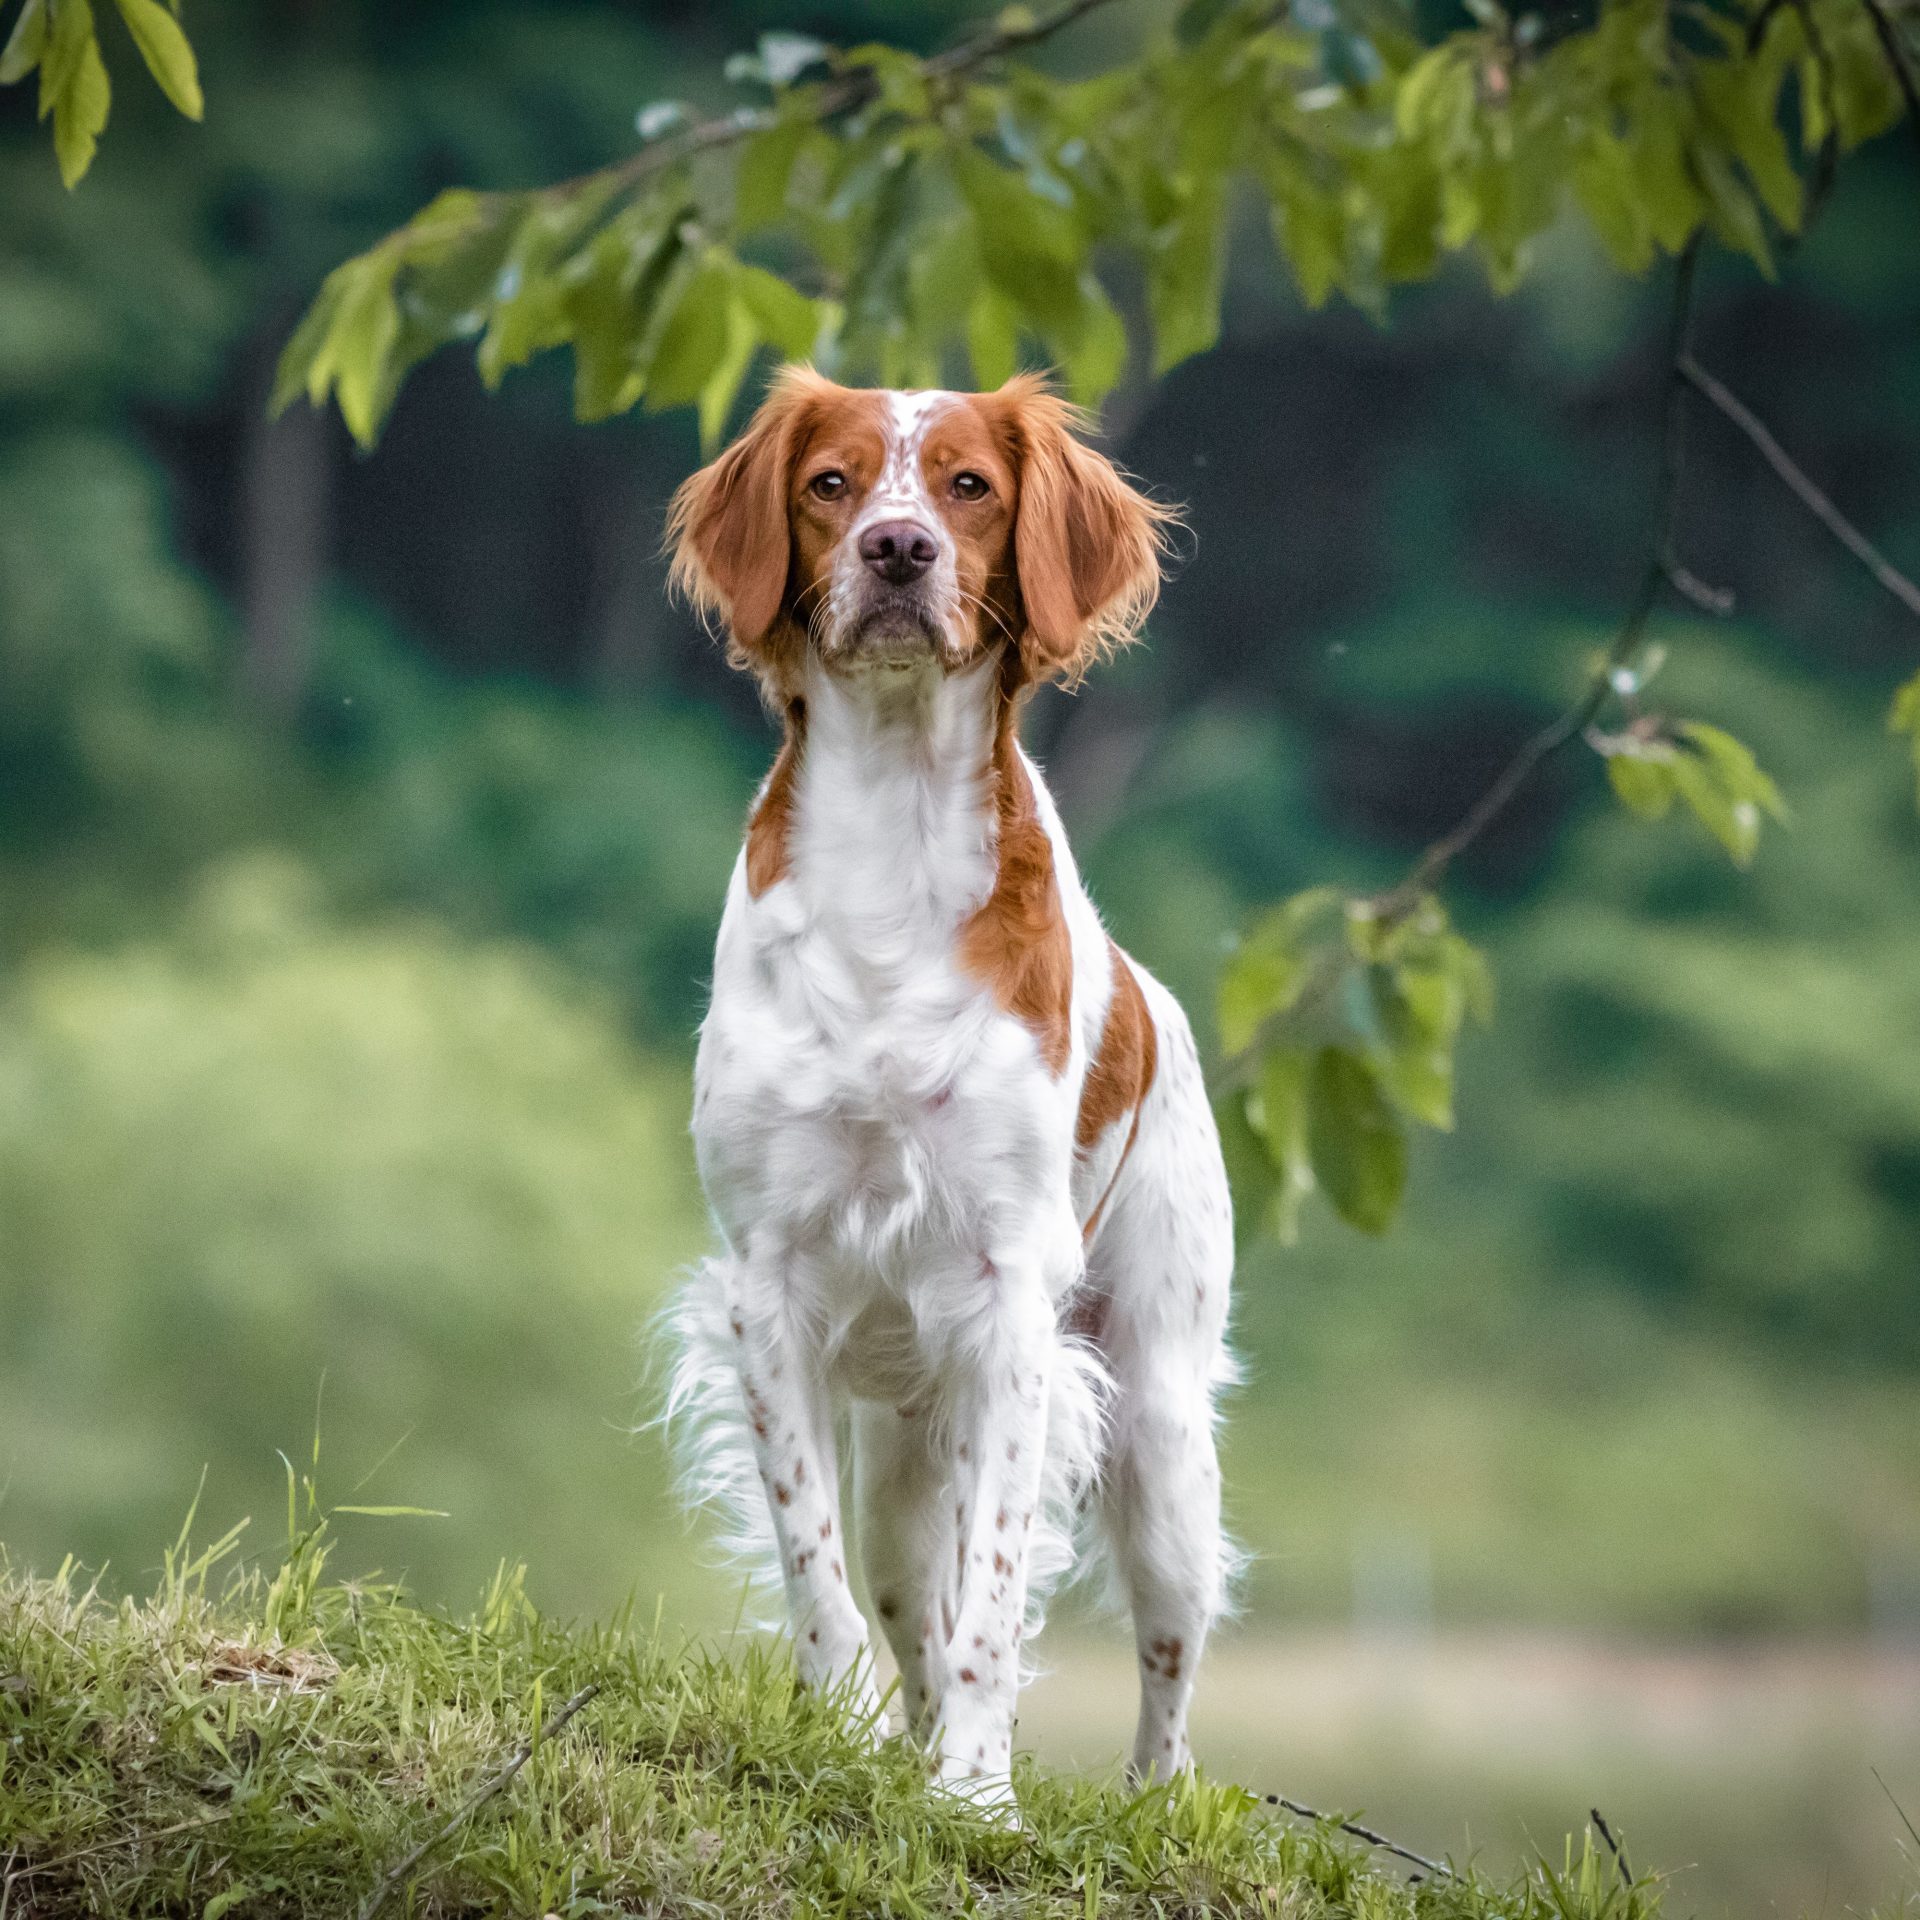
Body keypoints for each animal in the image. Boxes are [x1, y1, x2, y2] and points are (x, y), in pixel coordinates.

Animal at [668, 370, 1236, 1797]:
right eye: (831, 482)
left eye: (969, 485)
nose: (897, 549)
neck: (893, 830)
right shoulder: (769, 1283)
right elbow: (817, 1573)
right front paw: (853, 1739)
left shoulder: (1010, 1299)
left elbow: (992, 1602)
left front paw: (979, 1797)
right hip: (904, 1459)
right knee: (898, 1594)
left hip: (1159, 1431)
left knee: (1168, 1657)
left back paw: (1146, 1796)